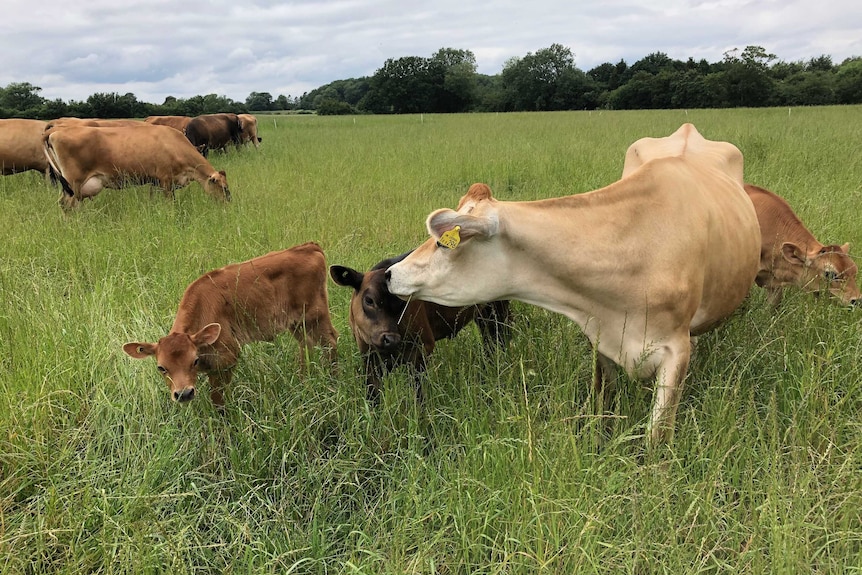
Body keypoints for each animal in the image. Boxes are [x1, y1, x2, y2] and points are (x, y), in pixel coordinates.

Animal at [44, 122, 231, 210]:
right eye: (224, 188)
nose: (228, 204)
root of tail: (55, 130)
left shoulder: (154, 181)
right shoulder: (166, 180)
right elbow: (170, 204)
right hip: (73, 181)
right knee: (67, 204)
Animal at [123, 243, 340, 404]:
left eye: (194, 360)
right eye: (161, 368)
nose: (184, 394)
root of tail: (309, 247)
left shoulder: (226, 358)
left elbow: (218, 399)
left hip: (315, 315)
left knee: (330, 341)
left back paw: (332, 380)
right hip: (297, 323)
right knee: (306, 345)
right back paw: (304, 380)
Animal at [330, 254, 506, 402]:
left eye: (404, 302)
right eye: (369, 300)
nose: (391, 339)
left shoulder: (422, 347)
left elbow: (418, 391)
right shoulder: (368, 356)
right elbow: (373, 394)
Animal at [388, 122, 760, 446]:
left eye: (442, 243)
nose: (391, 272)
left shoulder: (675, 351)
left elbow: (657, 437)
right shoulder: (601, 335)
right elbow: (604, 401)